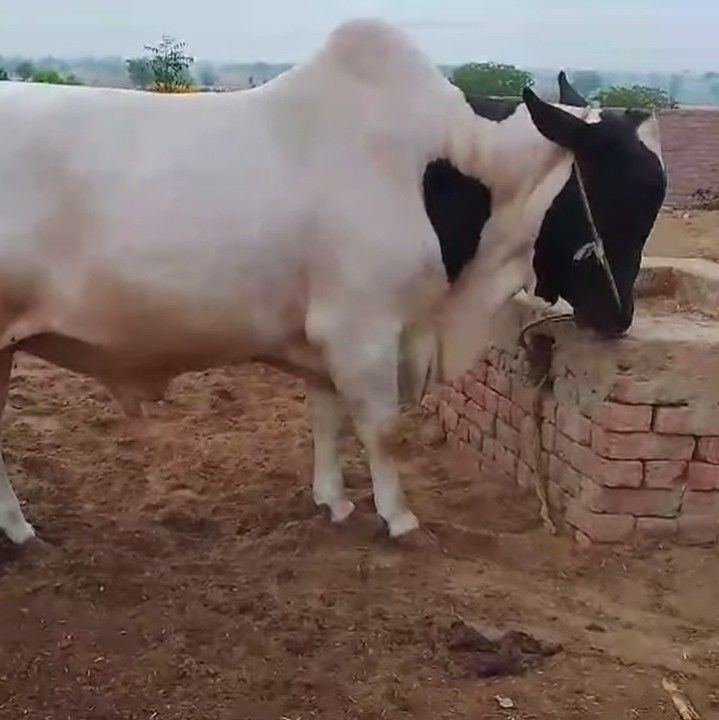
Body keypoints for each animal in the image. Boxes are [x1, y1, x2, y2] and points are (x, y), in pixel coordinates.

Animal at [0, 19, 665, 547]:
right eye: (623, 191)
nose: (620, 316)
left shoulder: (325, 341)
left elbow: (327, 418)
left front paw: (335, 502)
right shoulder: (362, 329)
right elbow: (383, 429)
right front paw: (399, 519)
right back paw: (20, 531)